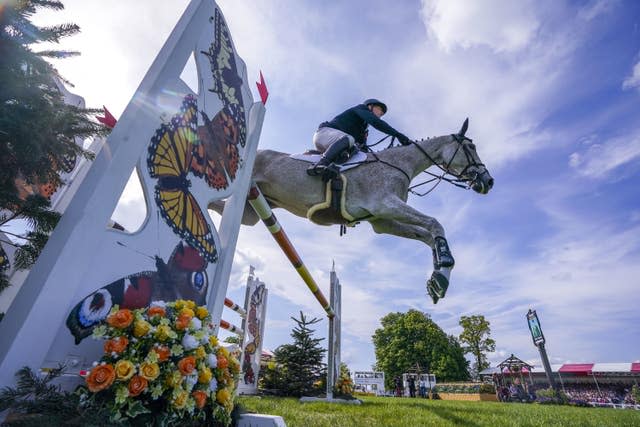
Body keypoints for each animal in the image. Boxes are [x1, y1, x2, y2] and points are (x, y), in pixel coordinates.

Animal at [212, 118, 492, 302]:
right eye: (470, 147)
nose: (488, 182)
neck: (400, 164)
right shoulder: (385, 204)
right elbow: (435, 224)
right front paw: (442, 271)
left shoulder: (382, 220)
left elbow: (428, 236)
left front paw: (438, 280)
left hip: (252, 211)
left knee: (218, 206)